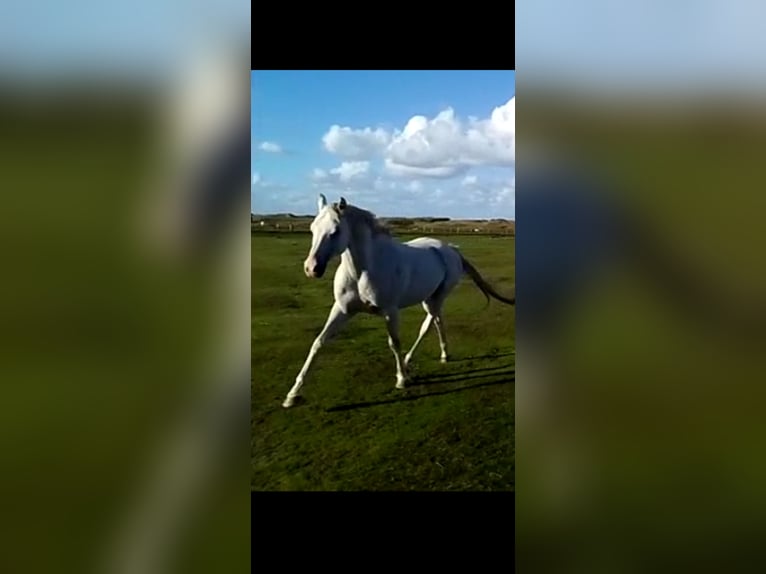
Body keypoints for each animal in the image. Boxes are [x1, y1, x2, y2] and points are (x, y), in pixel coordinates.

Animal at [282, 197, 516, 410]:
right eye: (312, 229)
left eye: (336, 231)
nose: (312, 268)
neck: (363, 272)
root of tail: (450, 249)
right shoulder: (342, 310)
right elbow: (319, 342)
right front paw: (293, 395)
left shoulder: (390, 312)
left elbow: (394, 343)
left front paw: (402, 379)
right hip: (429, 298)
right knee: (437, 322)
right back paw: (441, 355)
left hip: (436, 299)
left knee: (428, 325)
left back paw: (411, 361)